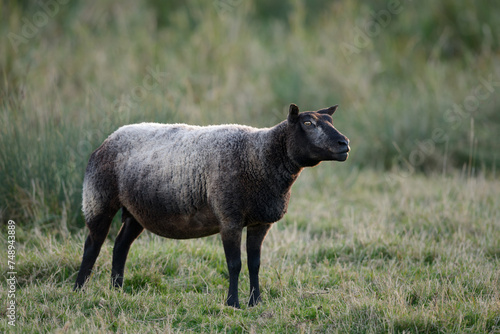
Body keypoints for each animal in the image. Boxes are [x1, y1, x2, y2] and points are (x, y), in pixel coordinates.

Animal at [74, 103, 350, 308]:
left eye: (331, 121)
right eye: (308, 123)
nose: (344, 144)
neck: (260, 157)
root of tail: (108, 139)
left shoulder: (260, 222)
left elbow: (255, 264)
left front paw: (256, 302)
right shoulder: (229, 218)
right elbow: (234, 264)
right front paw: (233, 304)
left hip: (136, 212)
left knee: (120, 246)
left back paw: (116, 290)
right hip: (99, 198)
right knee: (92, 246)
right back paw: (79, 290)